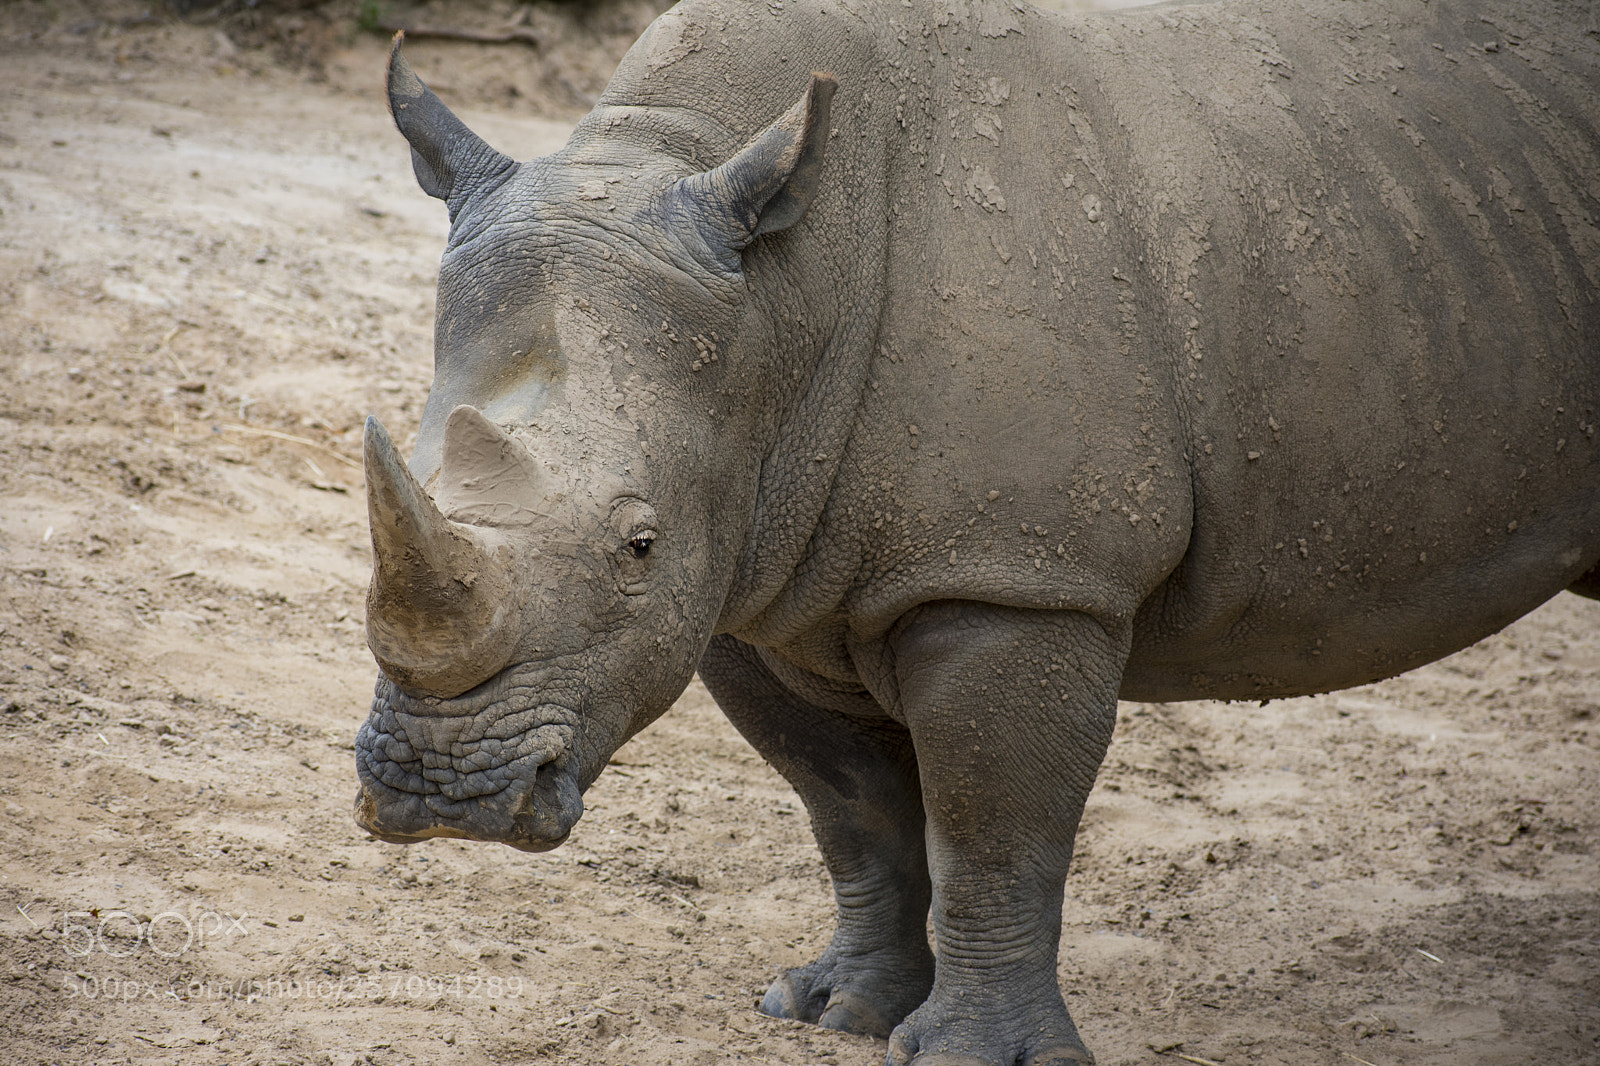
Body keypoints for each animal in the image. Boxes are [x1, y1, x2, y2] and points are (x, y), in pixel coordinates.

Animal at [351, 0, 1600, 1061]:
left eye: (640, 544)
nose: (441, 795)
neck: (784, 300)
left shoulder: (1016, 578)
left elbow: (988, 825)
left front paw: (965, 1052)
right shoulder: (750, 587)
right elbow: (850, 810)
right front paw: (830, 1008)